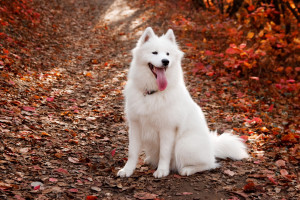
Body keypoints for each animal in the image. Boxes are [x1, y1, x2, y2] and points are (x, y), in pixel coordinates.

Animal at [117, 27, 248, 178]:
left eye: (167, 54)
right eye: (154, 52)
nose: (165, 61)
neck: (152, 93)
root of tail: (211, 147)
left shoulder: (167, 128)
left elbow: (164, 153)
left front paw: (162, 171)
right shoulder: (135, 125)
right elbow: (132, 152)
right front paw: (127, 170)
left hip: (183, 144)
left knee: (210, 164)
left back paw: (187, 169)